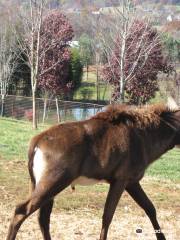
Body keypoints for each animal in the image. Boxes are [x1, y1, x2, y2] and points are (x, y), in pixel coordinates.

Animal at [6, 100, 180, 239]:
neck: (144, 135)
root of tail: (37, 141)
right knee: (23, 210)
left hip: (40, 184)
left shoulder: (132, 182)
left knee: (43, 218)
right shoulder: (121, 180)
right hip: (54, 181)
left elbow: (150, 208)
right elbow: (107, 216)